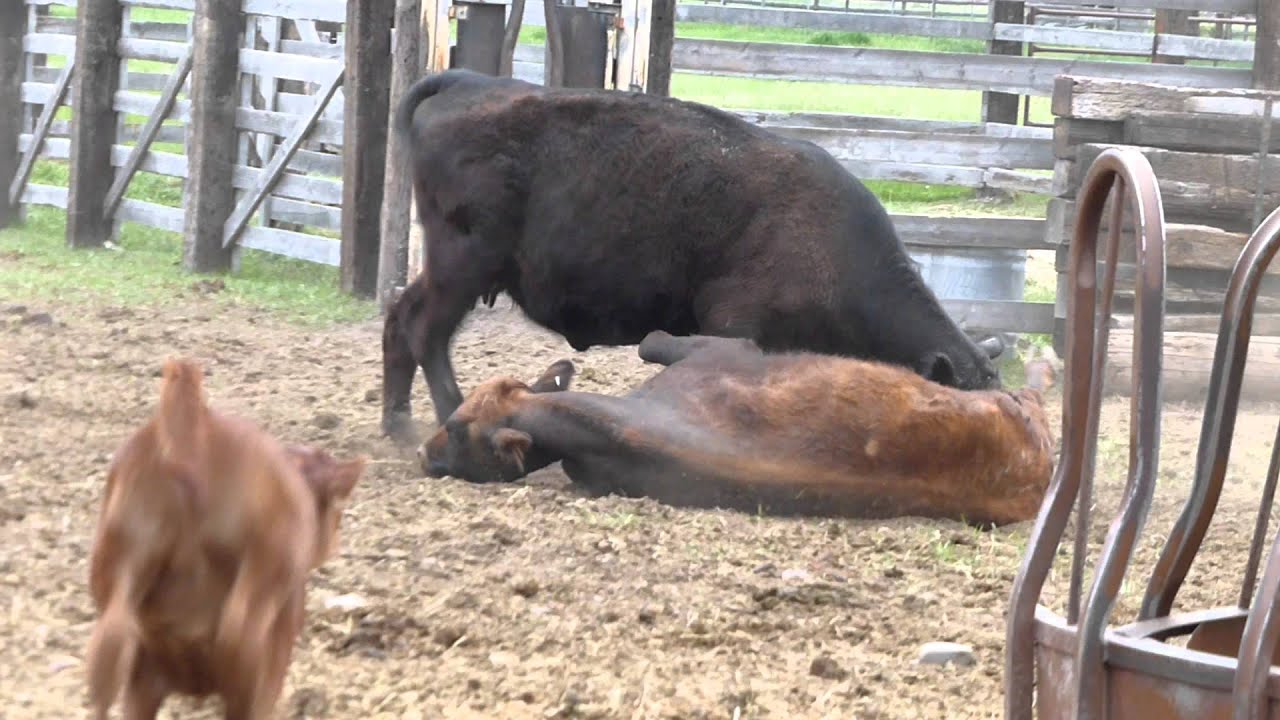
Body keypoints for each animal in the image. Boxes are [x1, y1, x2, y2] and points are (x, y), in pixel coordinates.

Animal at [381, 68, 1006, 441]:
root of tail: (468, 81)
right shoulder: (733, 324)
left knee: (398, 318)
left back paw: (397, 422)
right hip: (462, 267)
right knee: (424, 328)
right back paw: (444, 415)